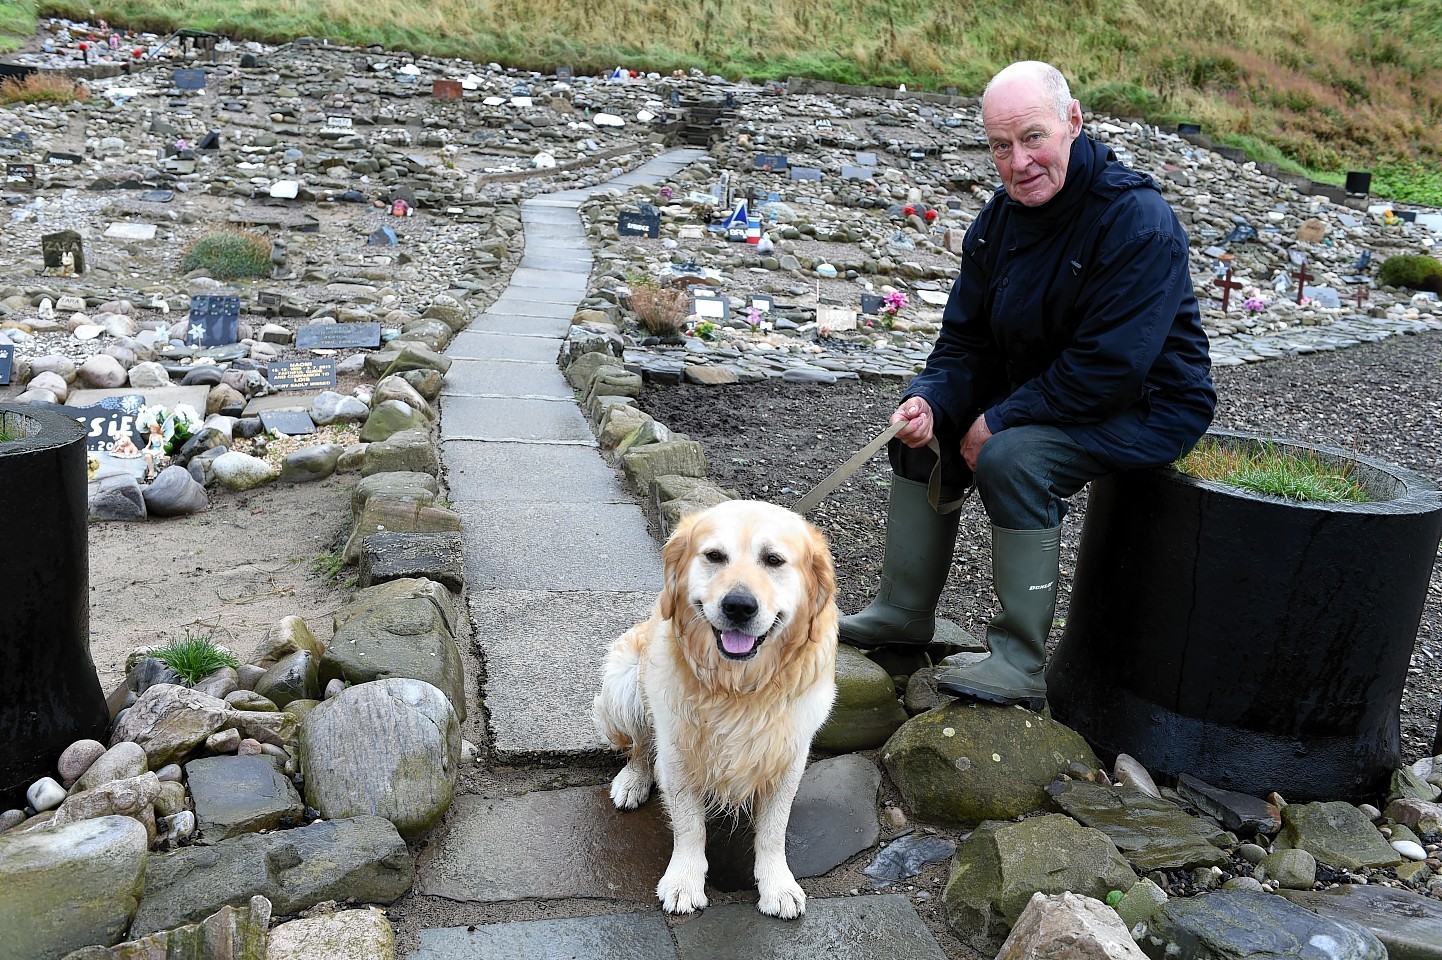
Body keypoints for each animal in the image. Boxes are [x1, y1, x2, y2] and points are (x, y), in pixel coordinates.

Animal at [591, 495, 842, 916]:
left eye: (773, 560)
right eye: (714, 556)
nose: (738, 605)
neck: (737, 687)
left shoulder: (789, 757)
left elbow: (773, 830)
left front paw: (778, 884)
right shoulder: (677, 754)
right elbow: (689, 826)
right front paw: (684, 881)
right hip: (624, 684)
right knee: (640, 748)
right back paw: (632, 781)